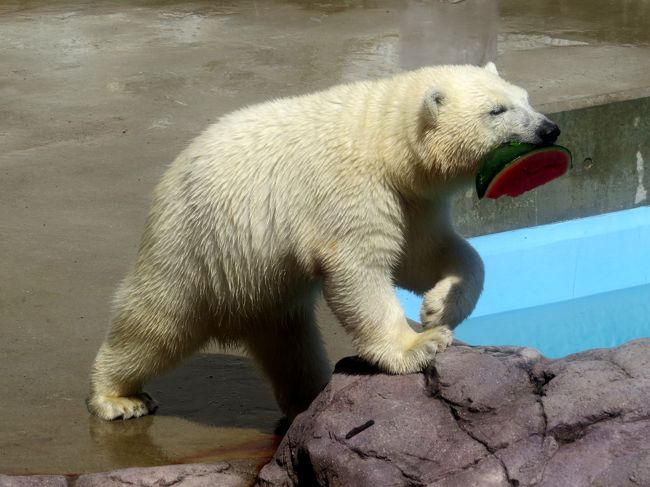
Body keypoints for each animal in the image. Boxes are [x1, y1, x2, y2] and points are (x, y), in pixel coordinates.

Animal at [88, 63, 560, 424]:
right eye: (497, 110)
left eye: (525, 97)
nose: (549, 129)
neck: (385, 144)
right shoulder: (349, 189)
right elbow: (360, 269)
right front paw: (420, 344)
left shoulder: (412, 200)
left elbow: (428, 255)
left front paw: (437, 307)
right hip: (196, 247)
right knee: (154, 323)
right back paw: (119, 397)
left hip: (266, 286)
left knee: (291, 344)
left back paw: (309, 396)